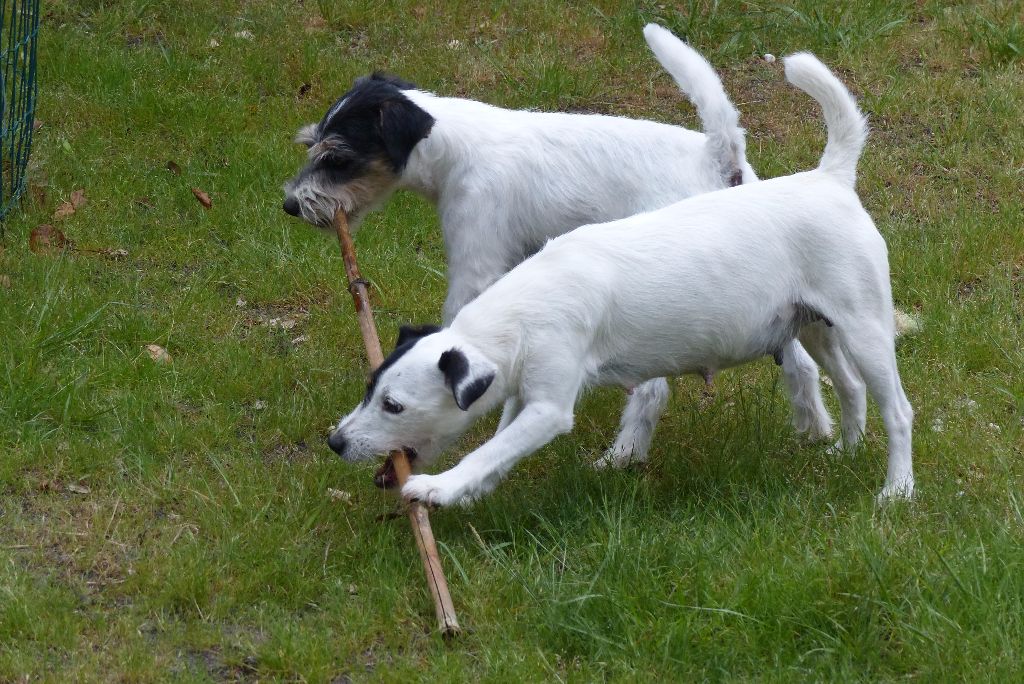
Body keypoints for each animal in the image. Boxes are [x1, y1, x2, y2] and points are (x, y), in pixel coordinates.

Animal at [329, 50, 921, 505]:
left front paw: (441, 488)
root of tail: (830, 177)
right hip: (815, 327)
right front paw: (473, 491)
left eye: (393, 406)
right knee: (849, 388)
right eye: (369, 388)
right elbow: (497, 445)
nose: (335, 443)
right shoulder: (523, 394)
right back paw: (841, 455)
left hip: (865, 331)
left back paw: (896, 491)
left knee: (897, 411)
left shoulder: (548, 408)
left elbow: (491, 447)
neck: (525, 307)